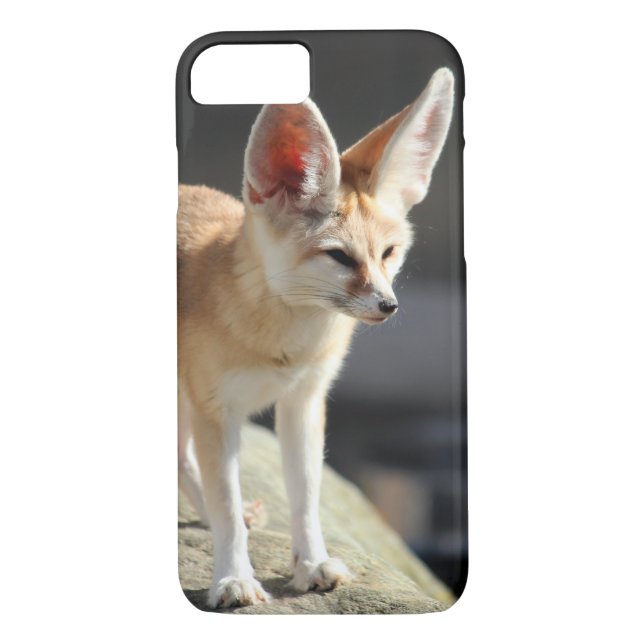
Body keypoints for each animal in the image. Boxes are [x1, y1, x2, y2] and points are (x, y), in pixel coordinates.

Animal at [177, 67, 455, 609]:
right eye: (340, 257)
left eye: (389, 253)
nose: (389, 306)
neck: (282, 343)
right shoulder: (215, 412)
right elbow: (225, 506)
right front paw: (234, 578)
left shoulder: (304, 401)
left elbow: (306, 497)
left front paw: (311, 564)